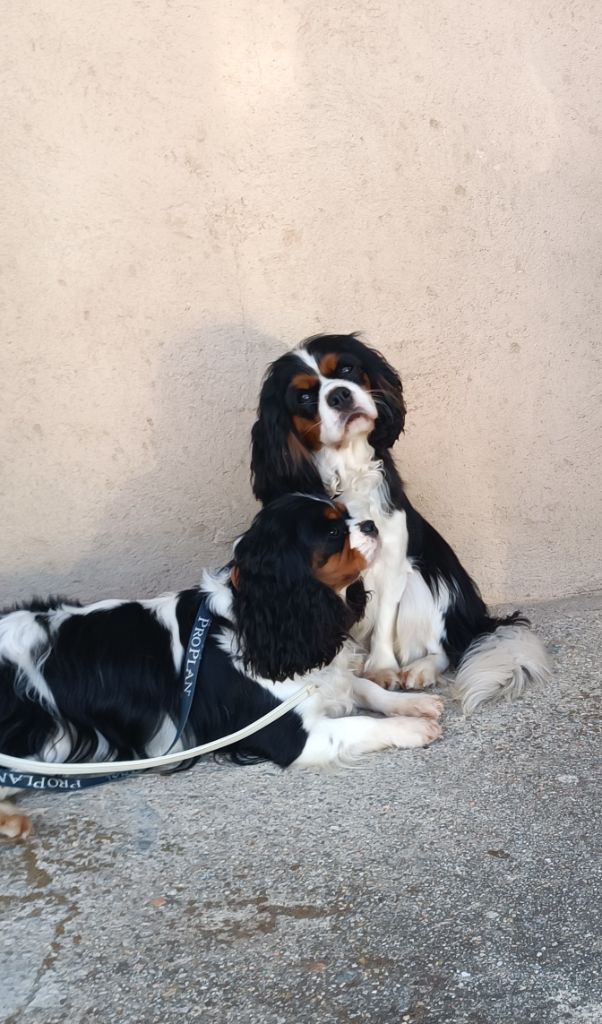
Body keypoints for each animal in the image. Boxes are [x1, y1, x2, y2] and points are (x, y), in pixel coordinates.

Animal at [0, 494, 442, 838]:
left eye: (347, 513)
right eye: (333, 533)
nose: (369, 524)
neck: (260, 617)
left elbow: (362, 687)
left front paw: (414, 704)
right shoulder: (291, 736)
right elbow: (360, 723)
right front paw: (411, 727)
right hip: (47, 741)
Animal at [250, 334, 551, 710]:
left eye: (346, 369)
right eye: (304, 397)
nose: (339, 394)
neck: (348, 470)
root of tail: (476, 620)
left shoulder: (392, 560)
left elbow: (383, 621)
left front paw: (380, 669)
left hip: (427, 582)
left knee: (443, 648)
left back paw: (421, 668)